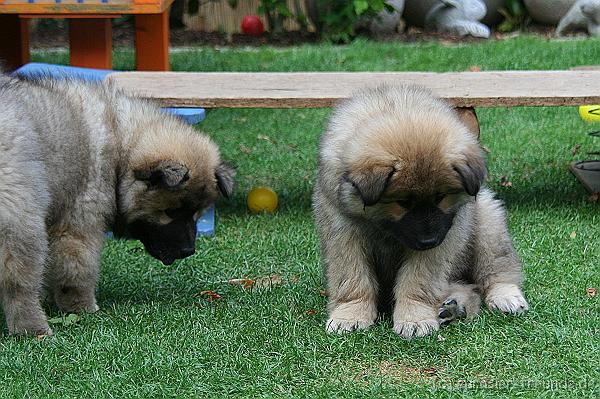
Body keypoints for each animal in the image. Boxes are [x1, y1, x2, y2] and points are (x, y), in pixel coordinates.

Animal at [0, 76, 234, 338]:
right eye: (169, 212)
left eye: (196, 214)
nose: (188, 251)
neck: (120, 146)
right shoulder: (79, 223)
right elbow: (77, 270)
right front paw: (82, 307)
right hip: (23, 221)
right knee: (19, 283)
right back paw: (33, 329)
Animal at [312, 85, 528, 340]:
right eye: (403, 202)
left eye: (441, 197)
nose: (428, 240)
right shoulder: (343, 232)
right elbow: (352, 279)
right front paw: (350, 315)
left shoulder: (441, 241)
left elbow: (417, 281)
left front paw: (414, 319)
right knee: (469, 288)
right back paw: (453, 307)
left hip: (487, 221)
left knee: (497, 269)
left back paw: (504, 296)